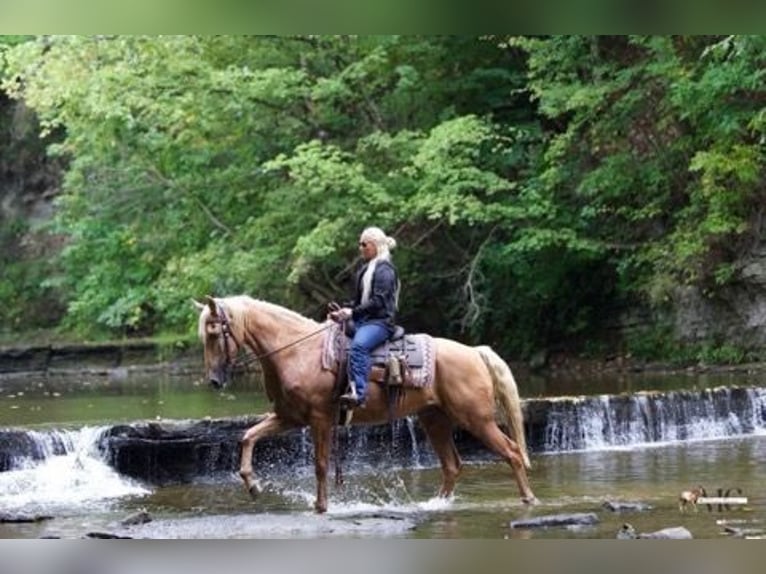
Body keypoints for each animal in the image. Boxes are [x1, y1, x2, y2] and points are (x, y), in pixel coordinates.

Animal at [194, 294, 537, 513]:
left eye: (214, 332)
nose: (214, 381)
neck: (297, 351)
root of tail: (475, 352)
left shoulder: (319, 418)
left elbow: (320, 464)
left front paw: (321, 506)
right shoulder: (288, 417)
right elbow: (247, 436)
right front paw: (252, 484)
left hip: (476, 419)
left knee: (512, 452)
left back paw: (529, 499)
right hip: (434, 419)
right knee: (452, 465)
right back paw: (436, 504)